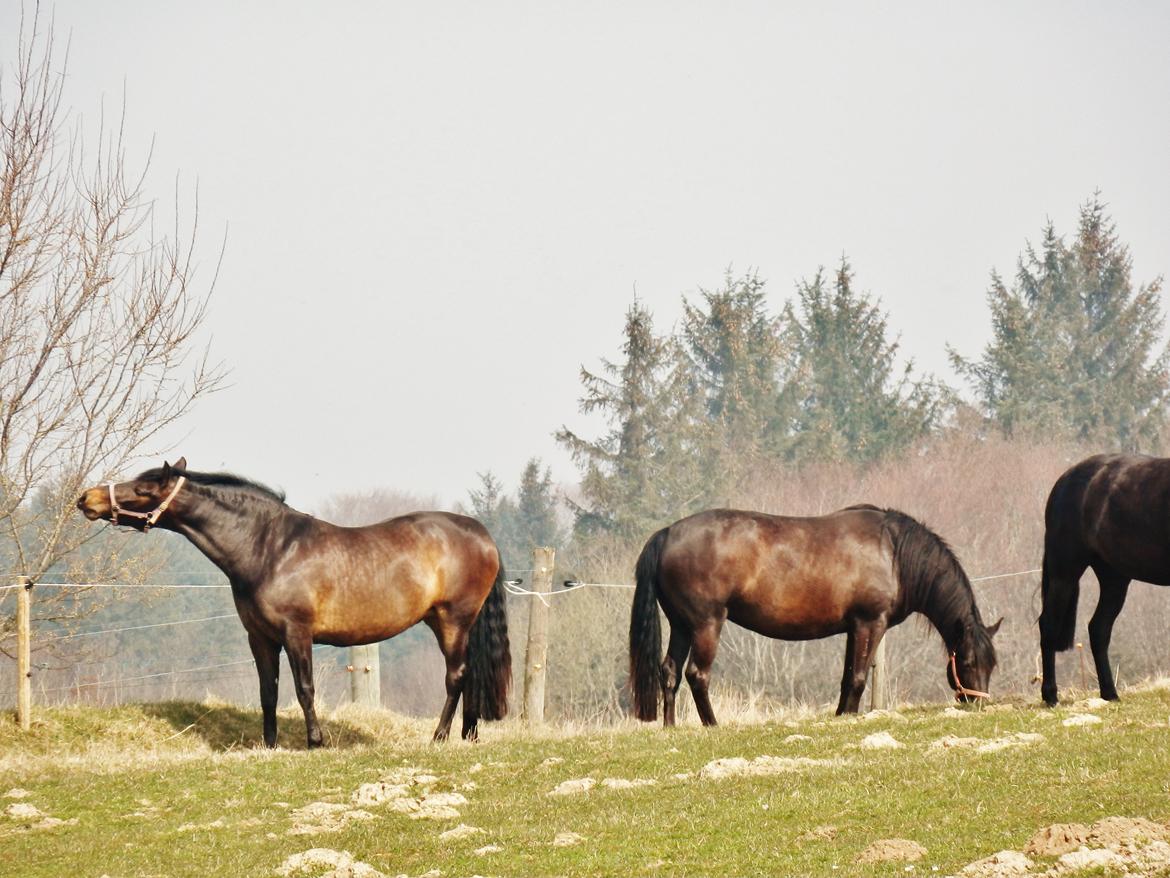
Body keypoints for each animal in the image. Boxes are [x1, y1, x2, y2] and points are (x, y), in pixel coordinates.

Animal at [76, 461, 507, 749]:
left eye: (143, 489)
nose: (87, 498)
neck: (270, 549)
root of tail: (481, 533)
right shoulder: (260, 638)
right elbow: (268, 691)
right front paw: (269, 744)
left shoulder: (296, 632)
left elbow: (304, 688)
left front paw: (316, 741)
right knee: (469, 676)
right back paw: (468, 735)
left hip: (453, 620)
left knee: (456, 676)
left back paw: (439, 737)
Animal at [627, 505, 1001, 725]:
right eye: (967, 661)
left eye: (992, 664)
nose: (978, 704)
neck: (894, 553)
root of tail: (666, 534)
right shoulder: (870, 623)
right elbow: (859, 677)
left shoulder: (854, 628)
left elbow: (848, 676)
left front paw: (840, 716)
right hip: (706, 625)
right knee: (697, 674)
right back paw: (712, 725)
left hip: (682, 626)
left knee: (670, 672)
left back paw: (671, 727)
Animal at [1043, 454, 1170, 707]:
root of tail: (1065, 479)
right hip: (1065, 573)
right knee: (1048, 625)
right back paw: (1050, 695)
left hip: (1114, 579)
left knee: (1099, 629)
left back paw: (1110, 693)